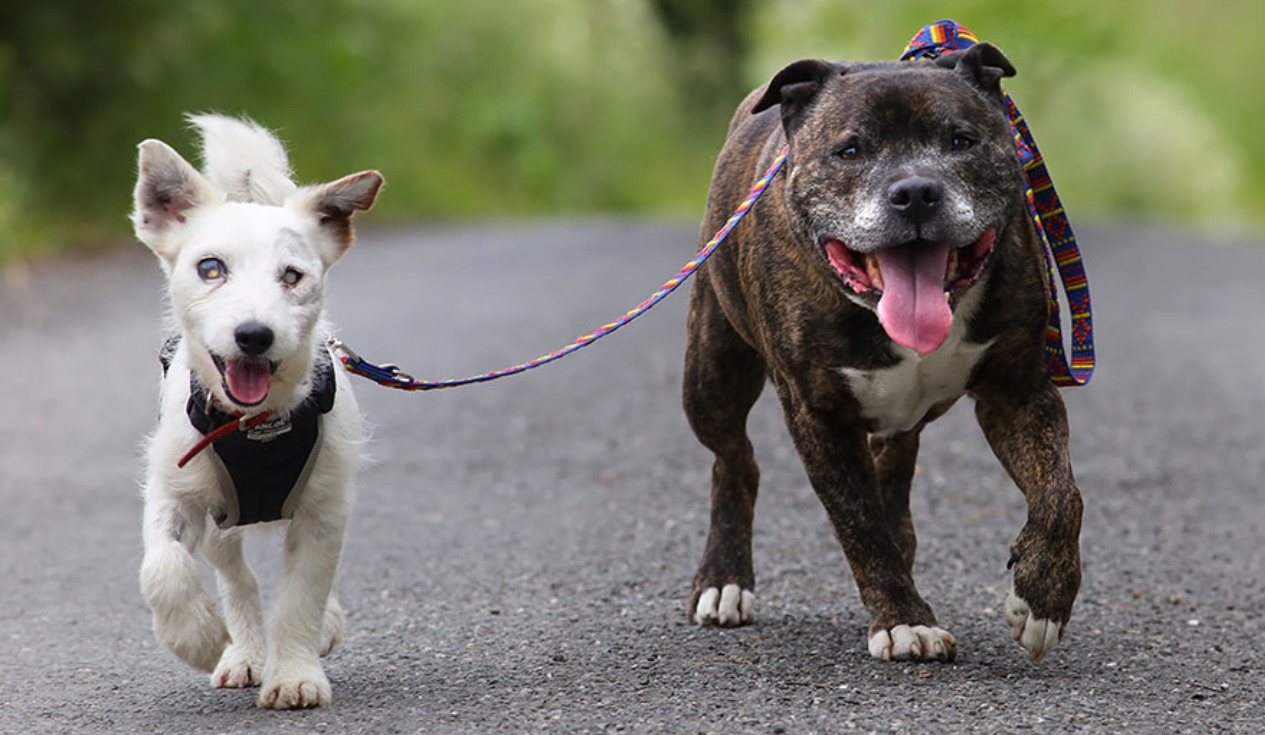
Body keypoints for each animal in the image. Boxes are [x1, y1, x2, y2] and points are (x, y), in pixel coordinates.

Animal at [132, 113, 382, 703]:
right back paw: (242, 652)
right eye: (210, 268)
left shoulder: (323, 512)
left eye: (291, 276)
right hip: (221, 520)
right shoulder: (174, 491)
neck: (256, 426)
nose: (253, 334)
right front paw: (196, 637)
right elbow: (163, 567)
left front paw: (294, 674)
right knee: (236, 578)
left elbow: (302, 595)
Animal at [688, 43, 1082, 662]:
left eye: (961, 140)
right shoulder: (818, 414)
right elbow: (859, 524)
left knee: (892, 467)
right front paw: (903, 621)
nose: (916, 191)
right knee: (735, 460)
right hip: (711, 376)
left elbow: (1061, 494)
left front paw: (1042, 598)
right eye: (850, 150)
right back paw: (724, 580)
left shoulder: (1018, 391)